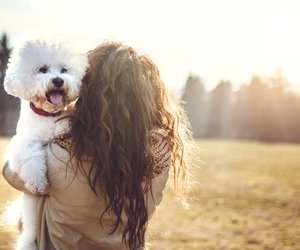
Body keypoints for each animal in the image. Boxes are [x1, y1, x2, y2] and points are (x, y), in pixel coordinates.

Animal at [3, 40, 88, 249]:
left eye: (64, 70)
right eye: (42, 69)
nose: (58, 80)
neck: (48, 115)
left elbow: (67, 120)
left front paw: (63, 127)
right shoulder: (20, 145)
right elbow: (31, 155)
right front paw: (38, 183)